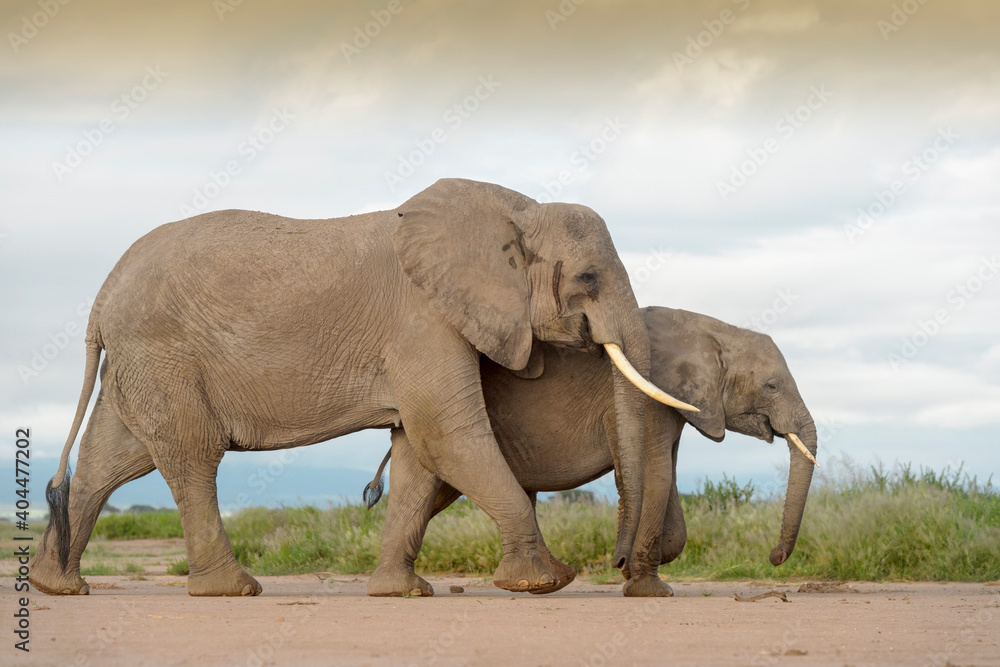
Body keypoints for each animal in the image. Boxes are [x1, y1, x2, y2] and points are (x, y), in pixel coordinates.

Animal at [29, 178, 696, 597]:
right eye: (588, 279)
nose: (622, 566)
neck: (513, 210)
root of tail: (100, 297)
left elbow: (418, 452)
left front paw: (402, 593)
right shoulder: (424, 320)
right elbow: (448, 433)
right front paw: (545, 582)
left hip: (143, 359)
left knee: (113, 458)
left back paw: (56, 586)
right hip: (162, 352)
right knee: (192, 457)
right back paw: (231, 590)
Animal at [367, 306, 818, 597]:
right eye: (771, 386)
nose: (775, 557)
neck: (714, 329)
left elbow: (665, 480)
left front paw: (636, 571)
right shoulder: (652, 399)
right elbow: (656, 475)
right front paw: (648, 589)